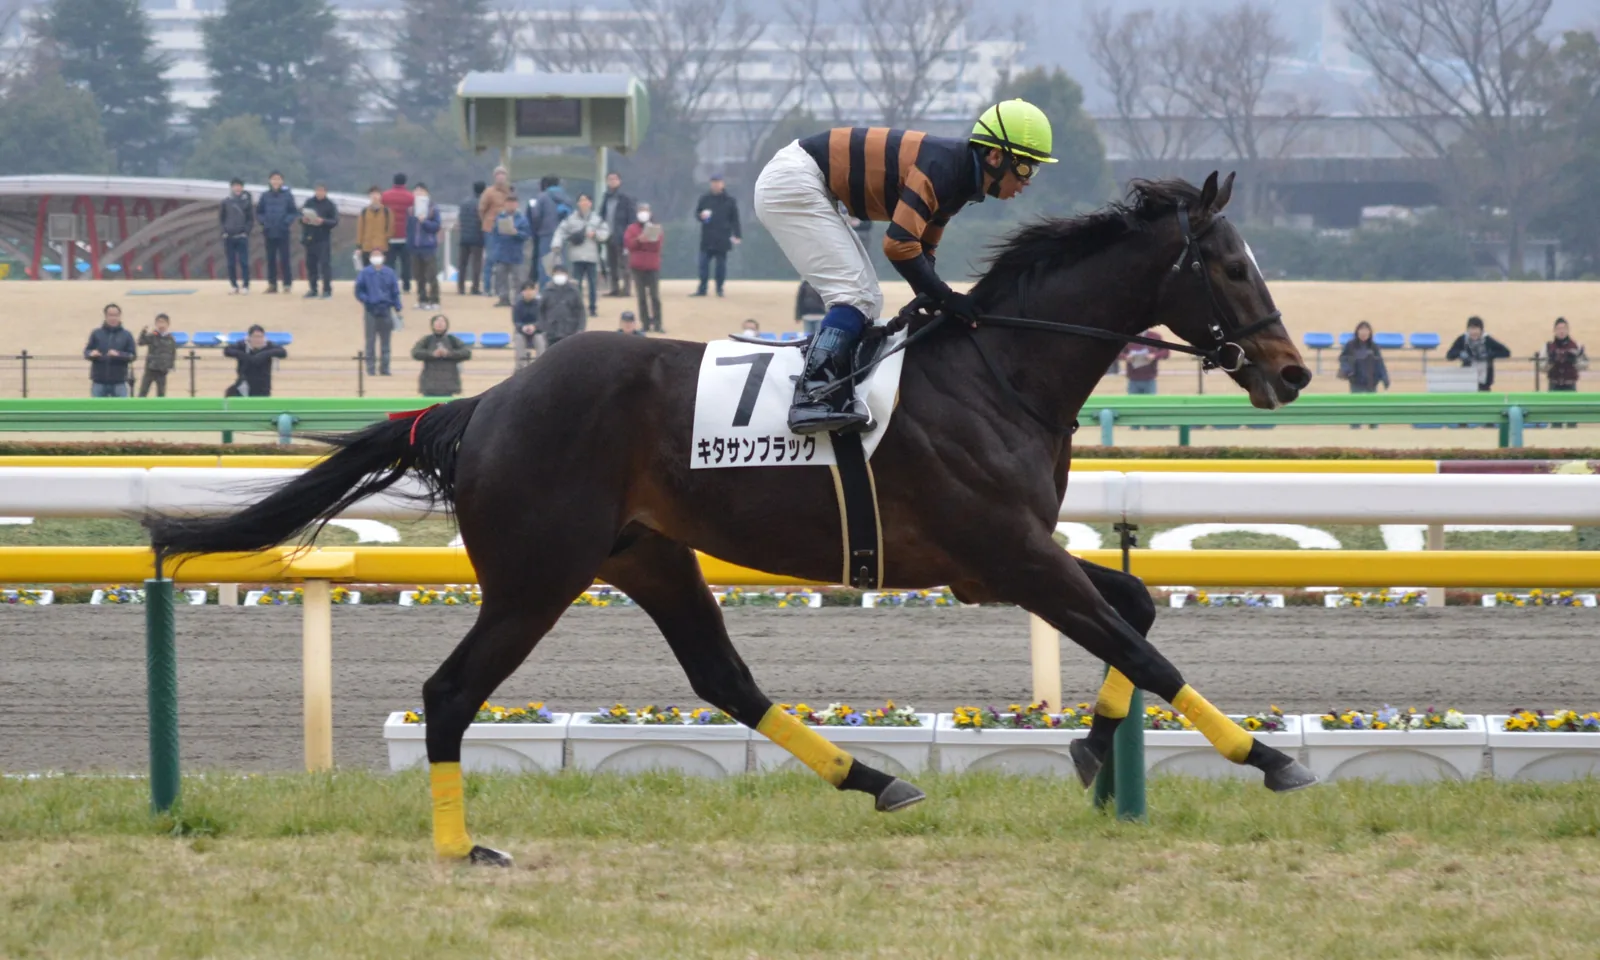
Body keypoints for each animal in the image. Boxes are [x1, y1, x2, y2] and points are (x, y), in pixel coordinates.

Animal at [148, 171, 1317, 867]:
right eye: (1228, 264)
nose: (1294, 372)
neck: (1000, 372)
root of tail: (481, 403)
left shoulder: (999, 562)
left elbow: (1138, 611)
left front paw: (1091, 748)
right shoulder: (1007, 553)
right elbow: (1141, 640)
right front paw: (1266, 757)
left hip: (648, 555)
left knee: (723, 679)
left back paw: (875, 779)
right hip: (537, 574)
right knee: (449, 692)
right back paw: (460, 848)